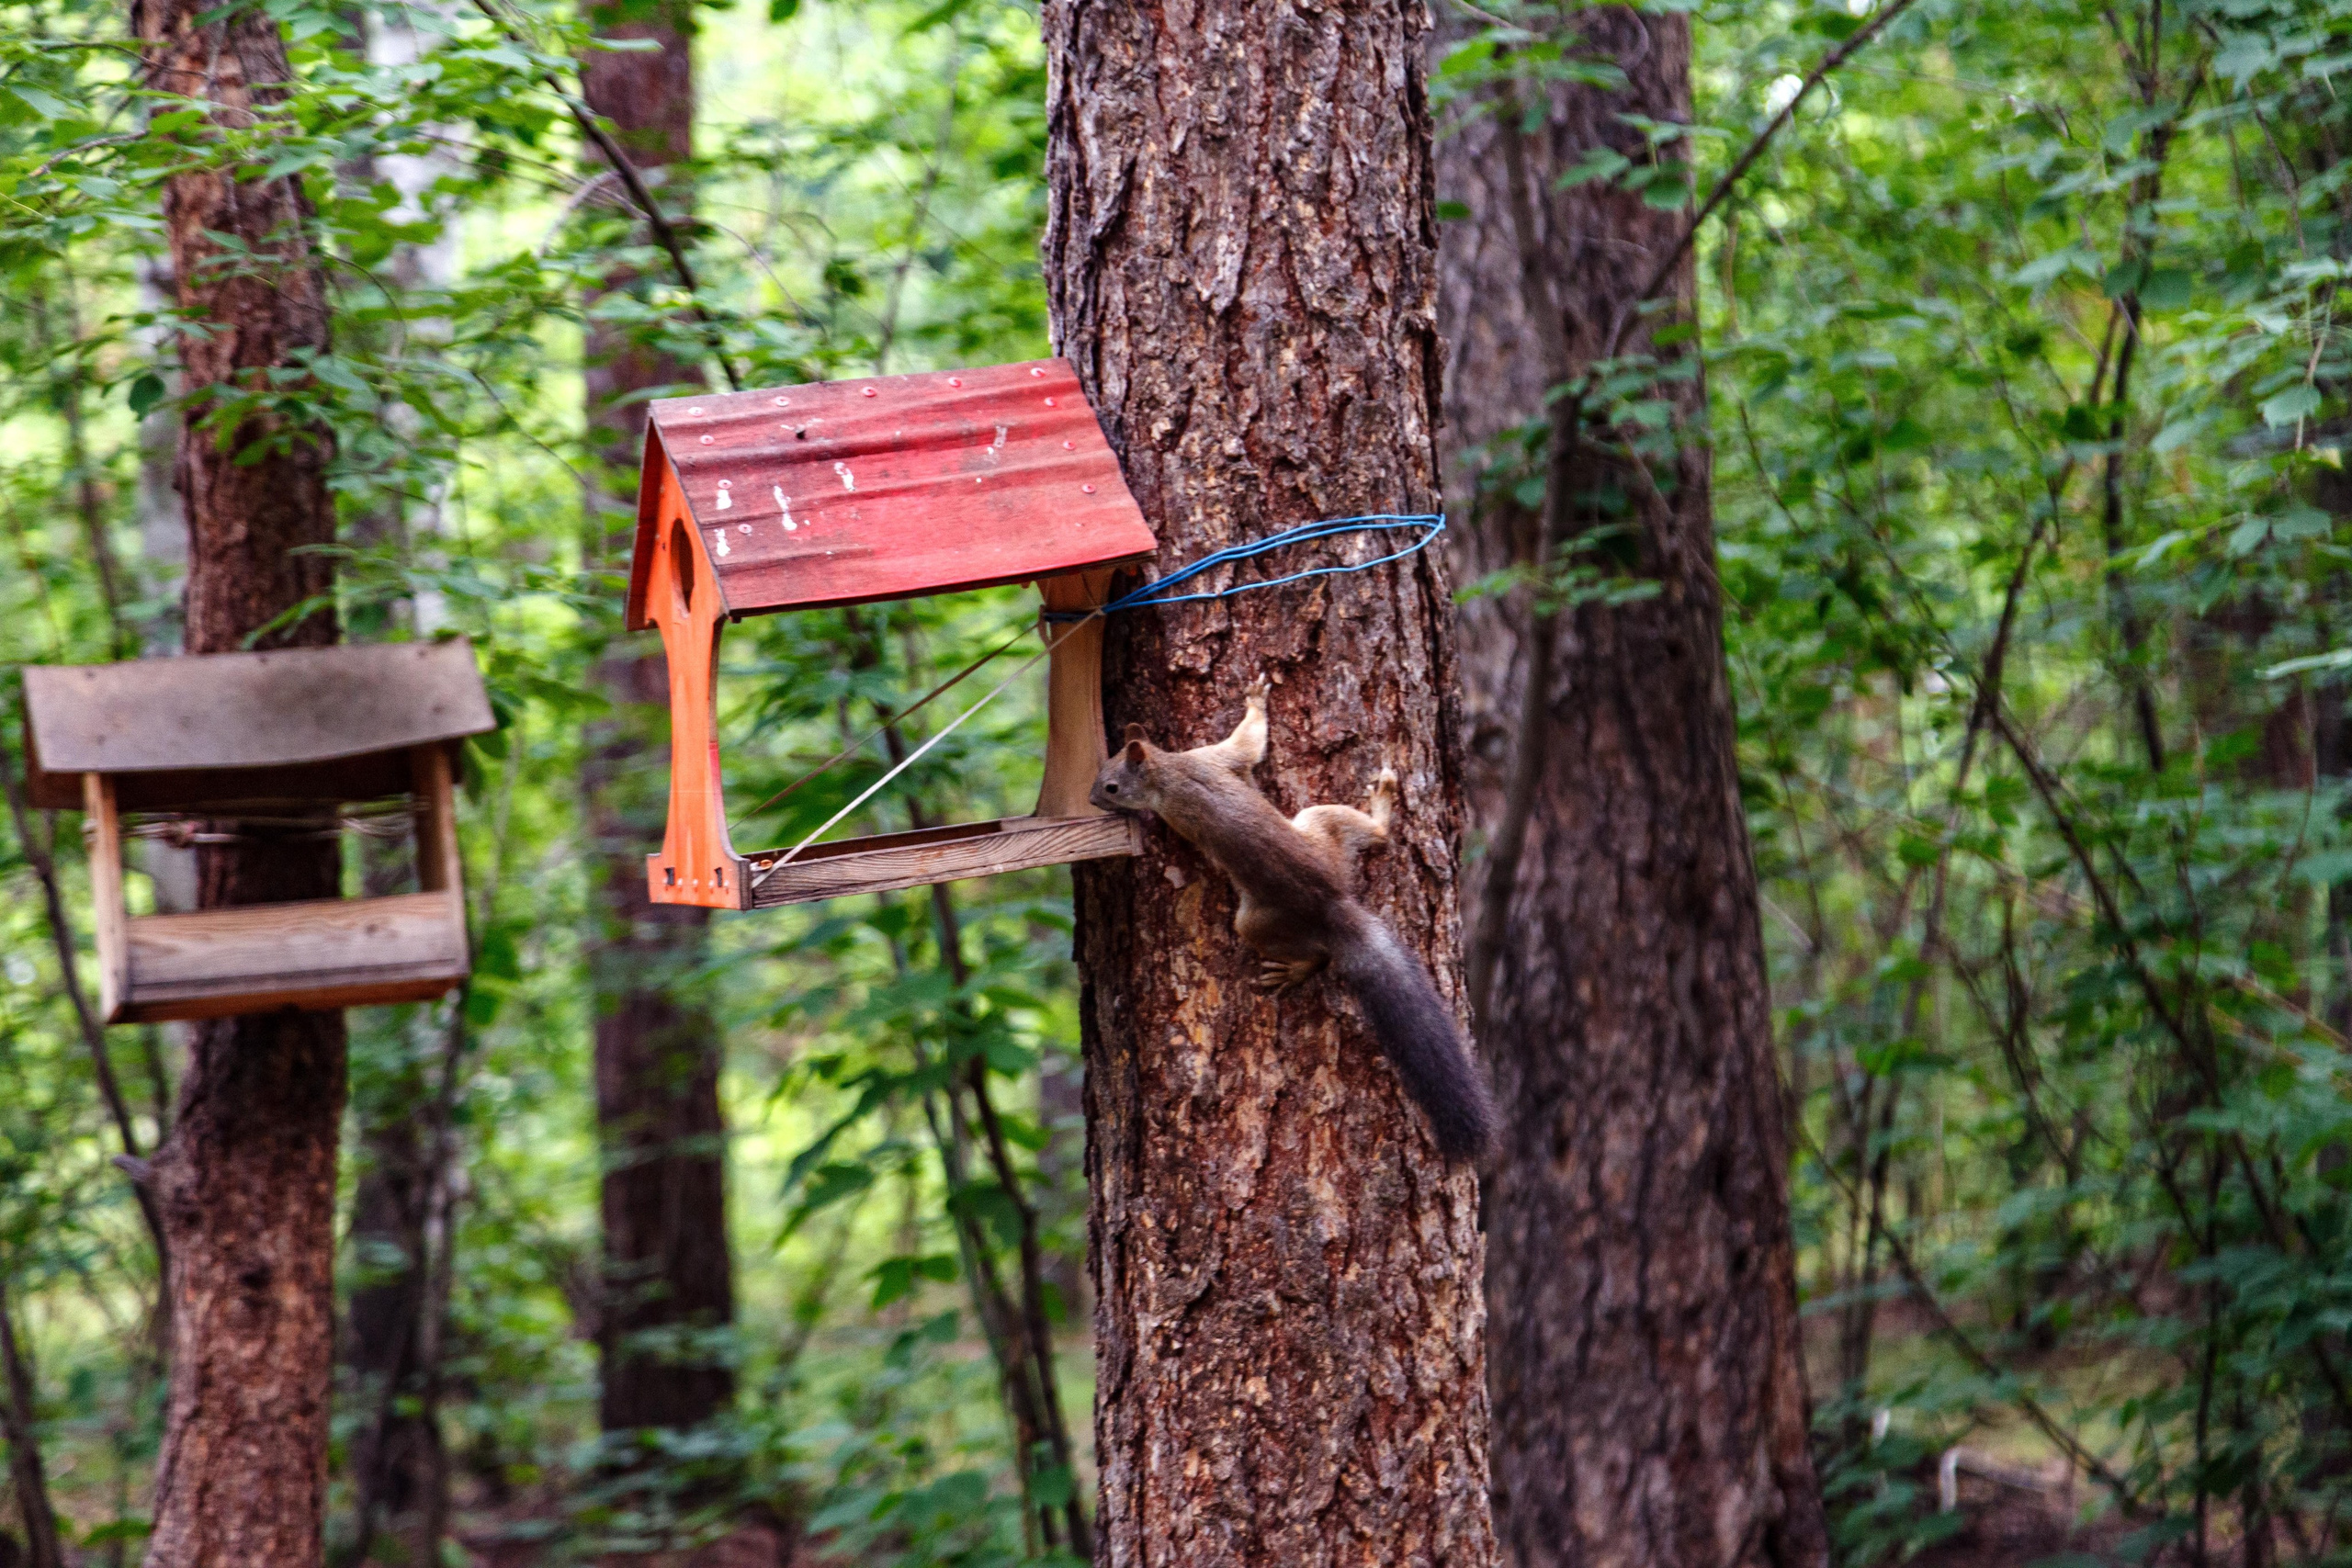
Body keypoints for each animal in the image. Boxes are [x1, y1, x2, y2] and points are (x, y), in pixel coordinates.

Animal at [1089, 679, 1498, 1161]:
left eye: (1111, 786)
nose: (1091, 799)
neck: (1168, 769)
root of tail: (1331, 902)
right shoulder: (1212, 760)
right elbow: (1248, 749)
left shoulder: (1204, 768)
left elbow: (1246, 743)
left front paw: (1254, 700)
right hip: (1323, 827)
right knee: (1375, 835)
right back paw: (1382, 805)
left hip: (1260, 915)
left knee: (1314, 954)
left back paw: (1295, 969)